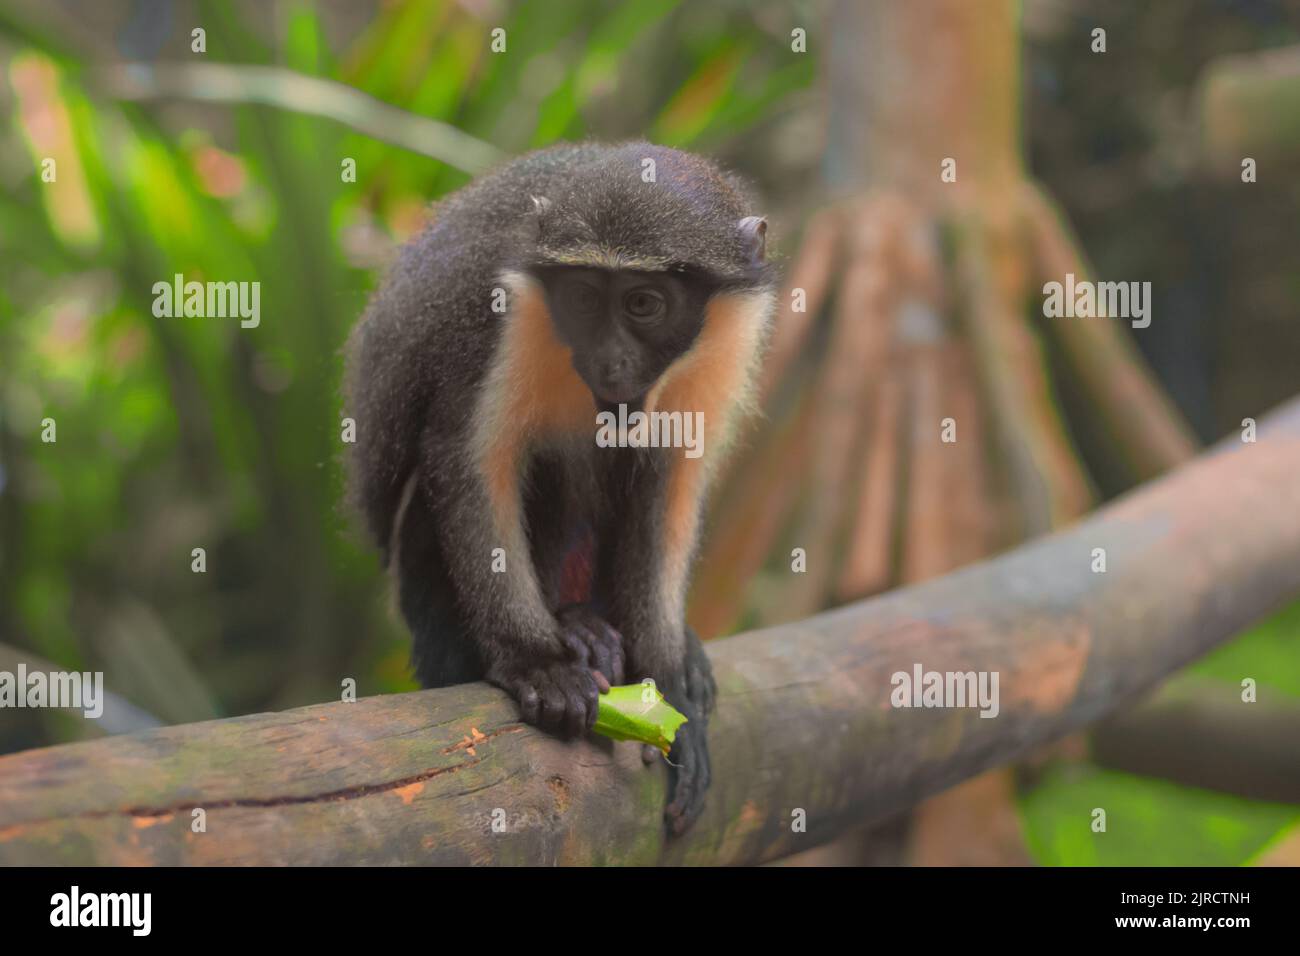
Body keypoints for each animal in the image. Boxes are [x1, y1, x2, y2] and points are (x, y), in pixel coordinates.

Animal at [343, 138, 769, 832]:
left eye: (643, 304)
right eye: (586, 299)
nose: (610, 360)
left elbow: (670, 480)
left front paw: (670, 681)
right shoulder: (495, 316)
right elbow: (468, 457)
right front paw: (536, 662)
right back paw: (575, 629)